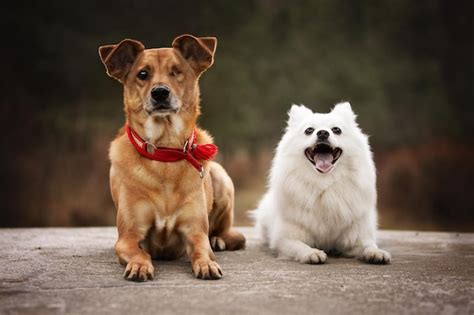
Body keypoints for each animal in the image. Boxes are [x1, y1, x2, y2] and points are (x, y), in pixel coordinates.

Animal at [96, 34, 244, 282]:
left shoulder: (195, 231)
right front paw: (139, 266)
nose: (160, 92)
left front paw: (207, 264)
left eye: (176, 71)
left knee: (226, 233)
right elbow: (140, 252)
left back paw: (218, 239)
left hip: (222, 178)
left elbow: (202, 249)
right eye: (142, 74)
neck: (165, 151)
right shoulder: (128, 237)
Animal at [254, 103, 390, 264]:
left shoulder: (357, 236)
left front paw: (376, 253)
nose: (323, 133)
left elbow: (368, 245)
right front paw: (311, 253)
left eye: (336, 130)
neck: (324, 184)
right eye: (309, 130)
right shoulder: (285, 238)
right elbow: (299, 246)